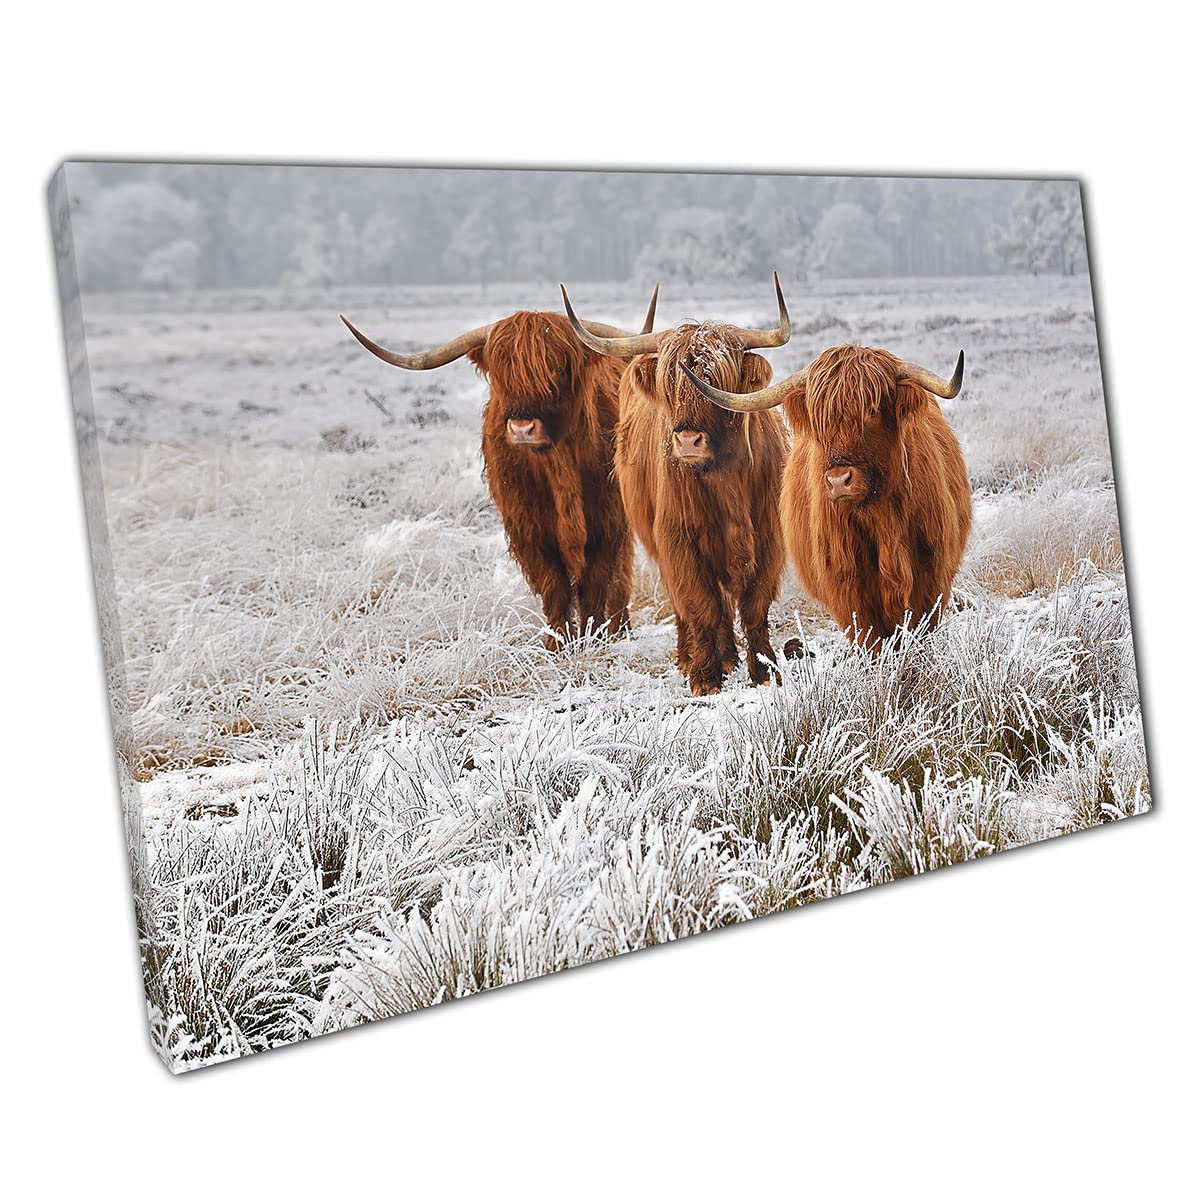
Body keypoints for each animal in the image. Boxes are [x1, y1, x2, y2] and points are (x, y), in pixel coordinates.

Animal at [340, 290, 658, 649]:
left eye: (559, 367)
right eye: (501, 372)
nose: (522, 427)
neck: (558, 466)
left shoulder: (608, 521)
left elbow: (595, 584)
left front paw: (594, 639)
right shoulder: (529, 529)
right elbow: (554, 586)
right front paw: (558, 644)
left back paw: (620, 627)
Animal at [561, 277, 792, 696]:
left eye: (717, 380)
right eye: (669, 385)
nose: (687, 441)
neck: (726, 481)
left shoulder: (769, 538)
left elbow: (754, 606)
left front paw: (765, 670)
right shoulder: (678, 539)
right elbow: (701, 605)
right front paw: (705, 677)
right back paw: (695, 659)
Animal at [683, 344, 971, 651]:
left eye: (871, 410)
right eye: (819, 419)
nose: (838, 481)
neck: (881, 520)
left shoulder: (932, 580)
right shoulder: (848, 590)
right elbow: (870, 642)